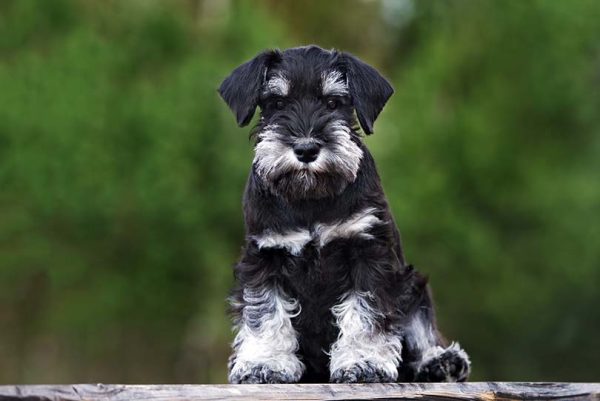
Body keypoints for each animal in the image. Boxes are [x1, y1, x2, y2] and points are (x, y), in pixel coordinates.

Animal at [218, 45, 472, 382]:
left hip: (414, 285)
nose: (306, 149)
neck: (310, 197)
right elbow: (265, 312)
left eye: (333, 103)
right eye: (277, 103)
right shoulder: (265, 257)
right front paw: (264, 363)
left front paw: (364, 362)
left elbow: (366, 314)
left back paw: (441, 361)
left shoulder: (368, 253)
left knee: (421, 331)